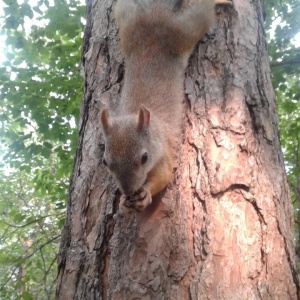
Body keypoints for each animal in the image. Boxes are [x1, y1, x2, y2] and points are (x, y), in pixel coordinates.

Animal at [101, 0, 232, 214]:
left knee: (200, 13)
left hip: (185, 30)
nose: (129, 191)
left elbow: (164, 175)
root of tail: (154, 15)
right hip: (126, 19)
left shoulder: (163, 150)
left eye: (144, 158)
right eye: (105, 162)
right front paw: (123, 203)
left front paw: (145, 193)